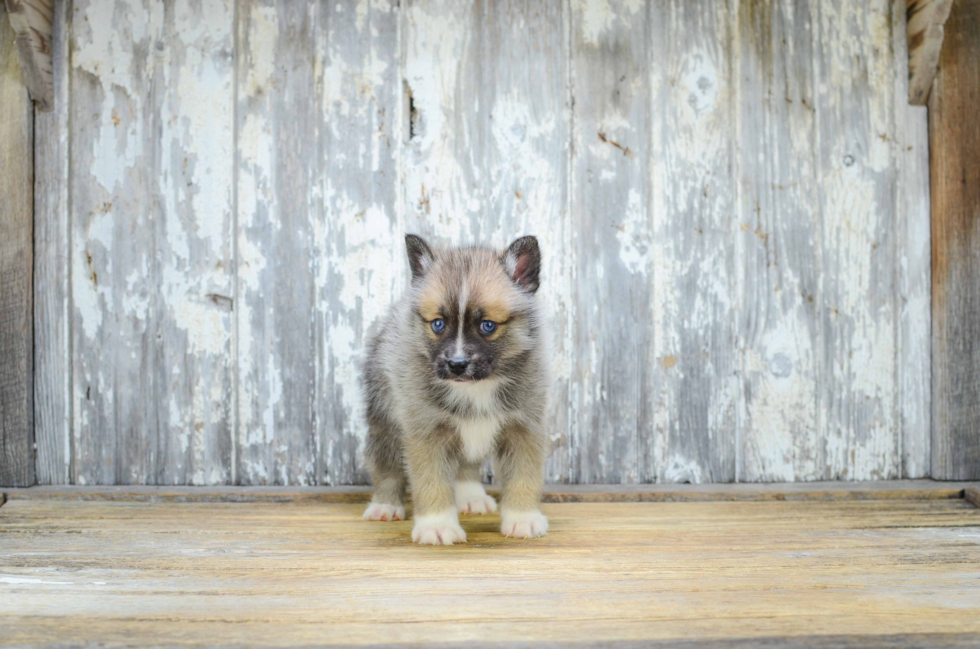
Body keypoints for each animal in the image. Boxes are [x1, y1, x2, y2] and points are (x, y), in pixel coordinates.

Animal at [362, 233, 552, 540]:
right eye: (438, 324)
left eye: (488, 325)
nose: (457, 364)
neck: (476, 387)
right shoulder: (426, 430)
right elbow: (431, 481)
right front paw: (437, 526)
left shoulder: (524, 428)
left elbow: (525, 477)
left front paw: (523, 518)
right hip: (384, 419)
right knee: (386, 465)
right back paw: (384, 506)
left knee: (466, 466)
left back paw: (471, 497)